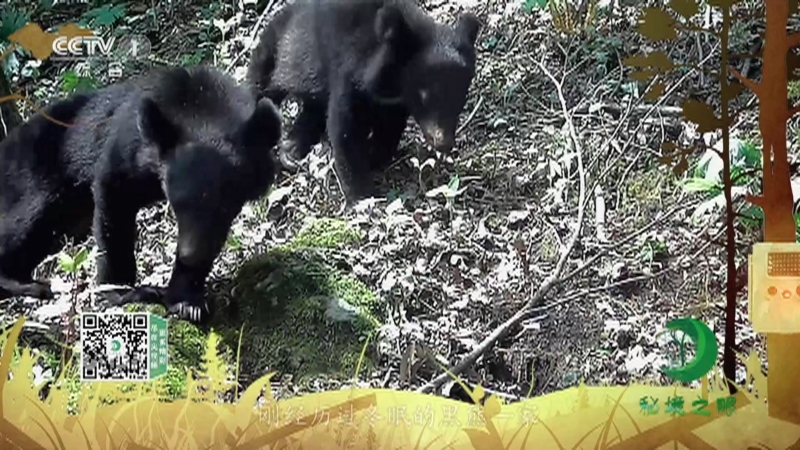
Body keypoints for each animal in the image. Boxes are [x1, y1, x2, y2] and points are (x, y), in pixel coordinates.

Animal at [0, 64, 282, 324]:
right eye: (177, 205)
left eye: (223, 207)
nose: (189, 255)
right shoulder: (128, 152)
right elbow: (114, 205)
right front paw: (119, 290)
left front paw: (187, 299)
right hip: (35, 181)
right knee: (23, 223)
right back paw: (28, 284)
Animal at [246, 0, 481, 204]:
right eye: (425, 95)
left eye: (460, 98)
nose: (444, 142)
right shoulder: (350, 75)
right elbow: (345, 128)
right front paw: (362, 194)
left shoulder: (393, 102)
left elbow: (390, 127)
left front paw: (375, 154)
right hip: (276, 50)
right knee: (260, 86)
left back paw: (291, 151)